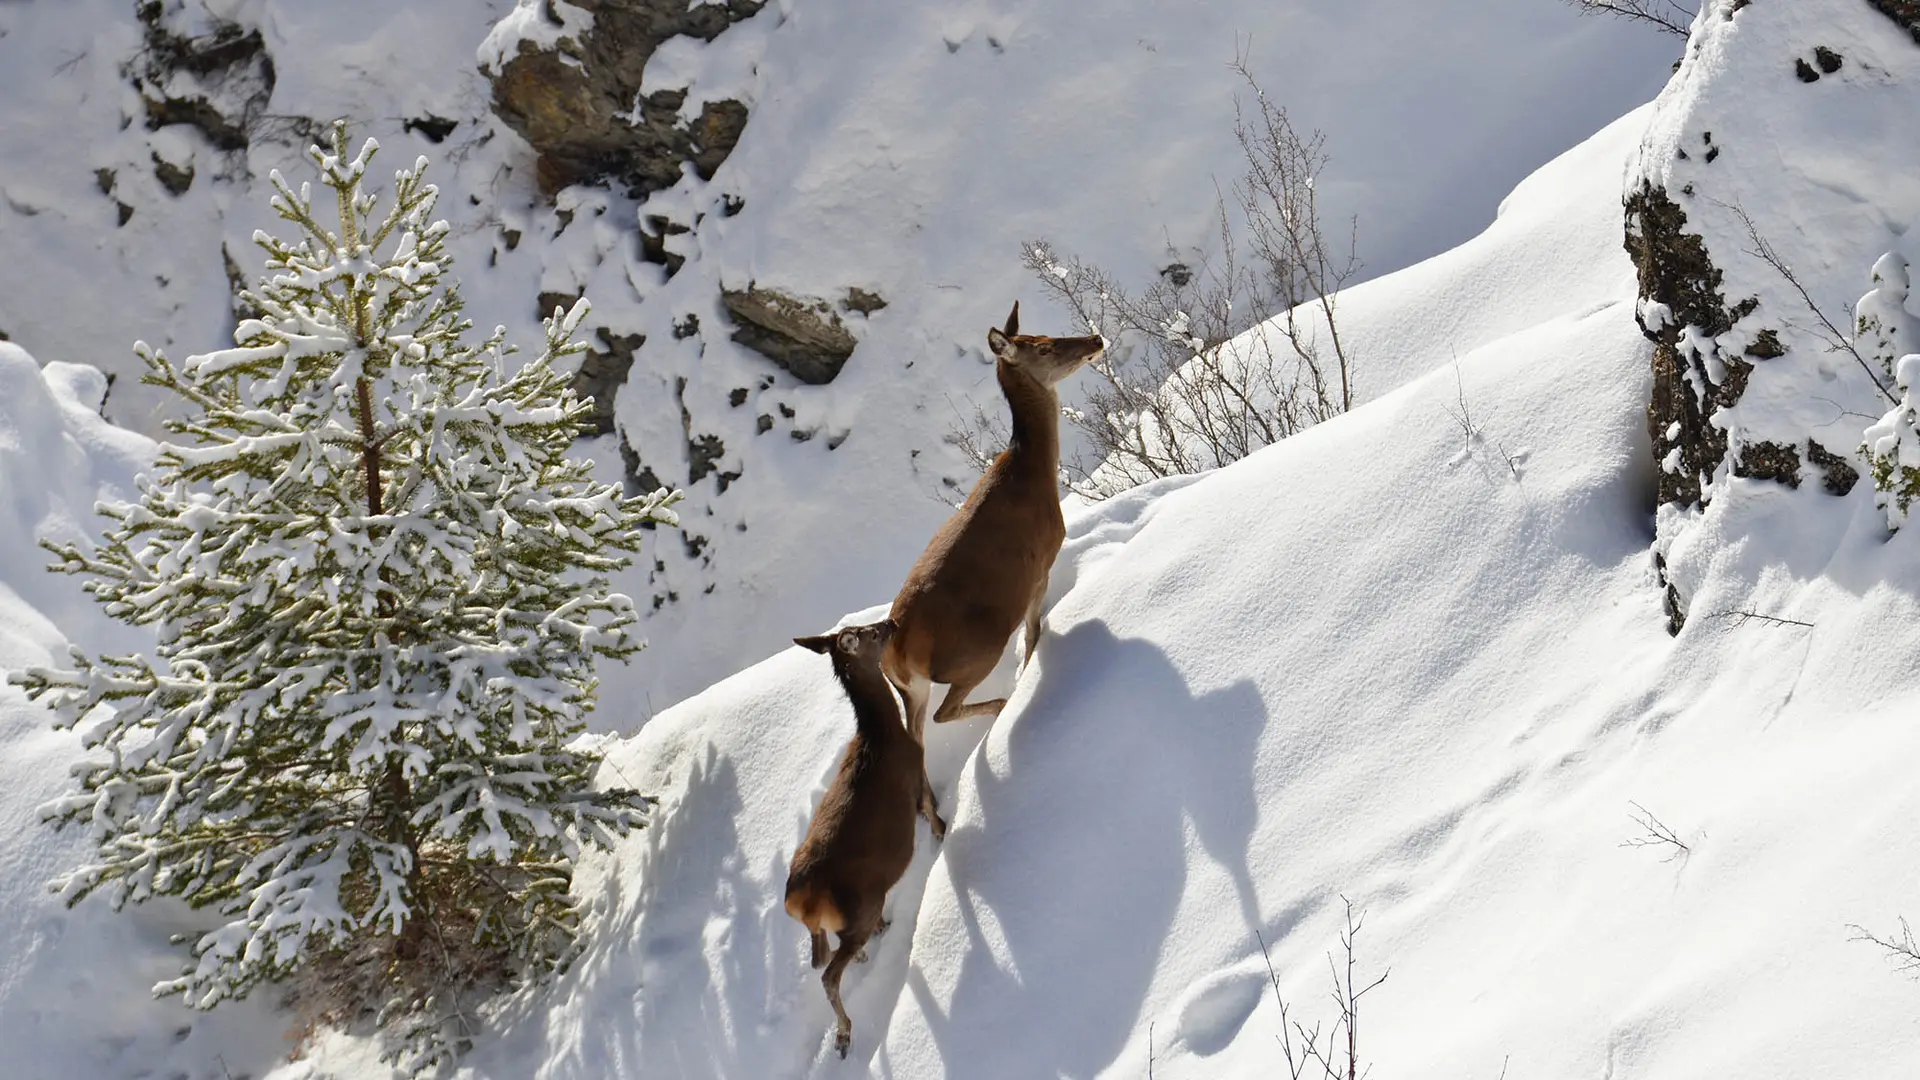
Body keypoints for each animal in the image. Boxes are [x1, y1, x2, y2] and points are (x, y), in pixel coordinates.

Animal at [783, 618, 925, 1053]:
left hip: (834, 923)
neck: (882, 734)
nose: (891, 621)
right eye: (870, 633)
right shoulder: (918, 770)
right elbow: (932, 810)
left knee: (824, 955)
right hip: (860, 906)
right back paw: (845, 1033)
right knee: (828, 974)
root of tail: (799, 901)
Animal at [879, 297, 1105, 837]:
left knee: (916, 737)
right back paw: (1003, 707)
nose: (1095, 339)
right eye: (1043, 347)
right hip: (972, 651)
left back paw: (934, 818)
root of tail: (894, 649)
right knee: (944, 713)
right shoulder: (1041, 562)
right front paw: (1031, 669)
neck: (1034, 470)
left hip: (911, 690)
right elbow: (1034, 630)